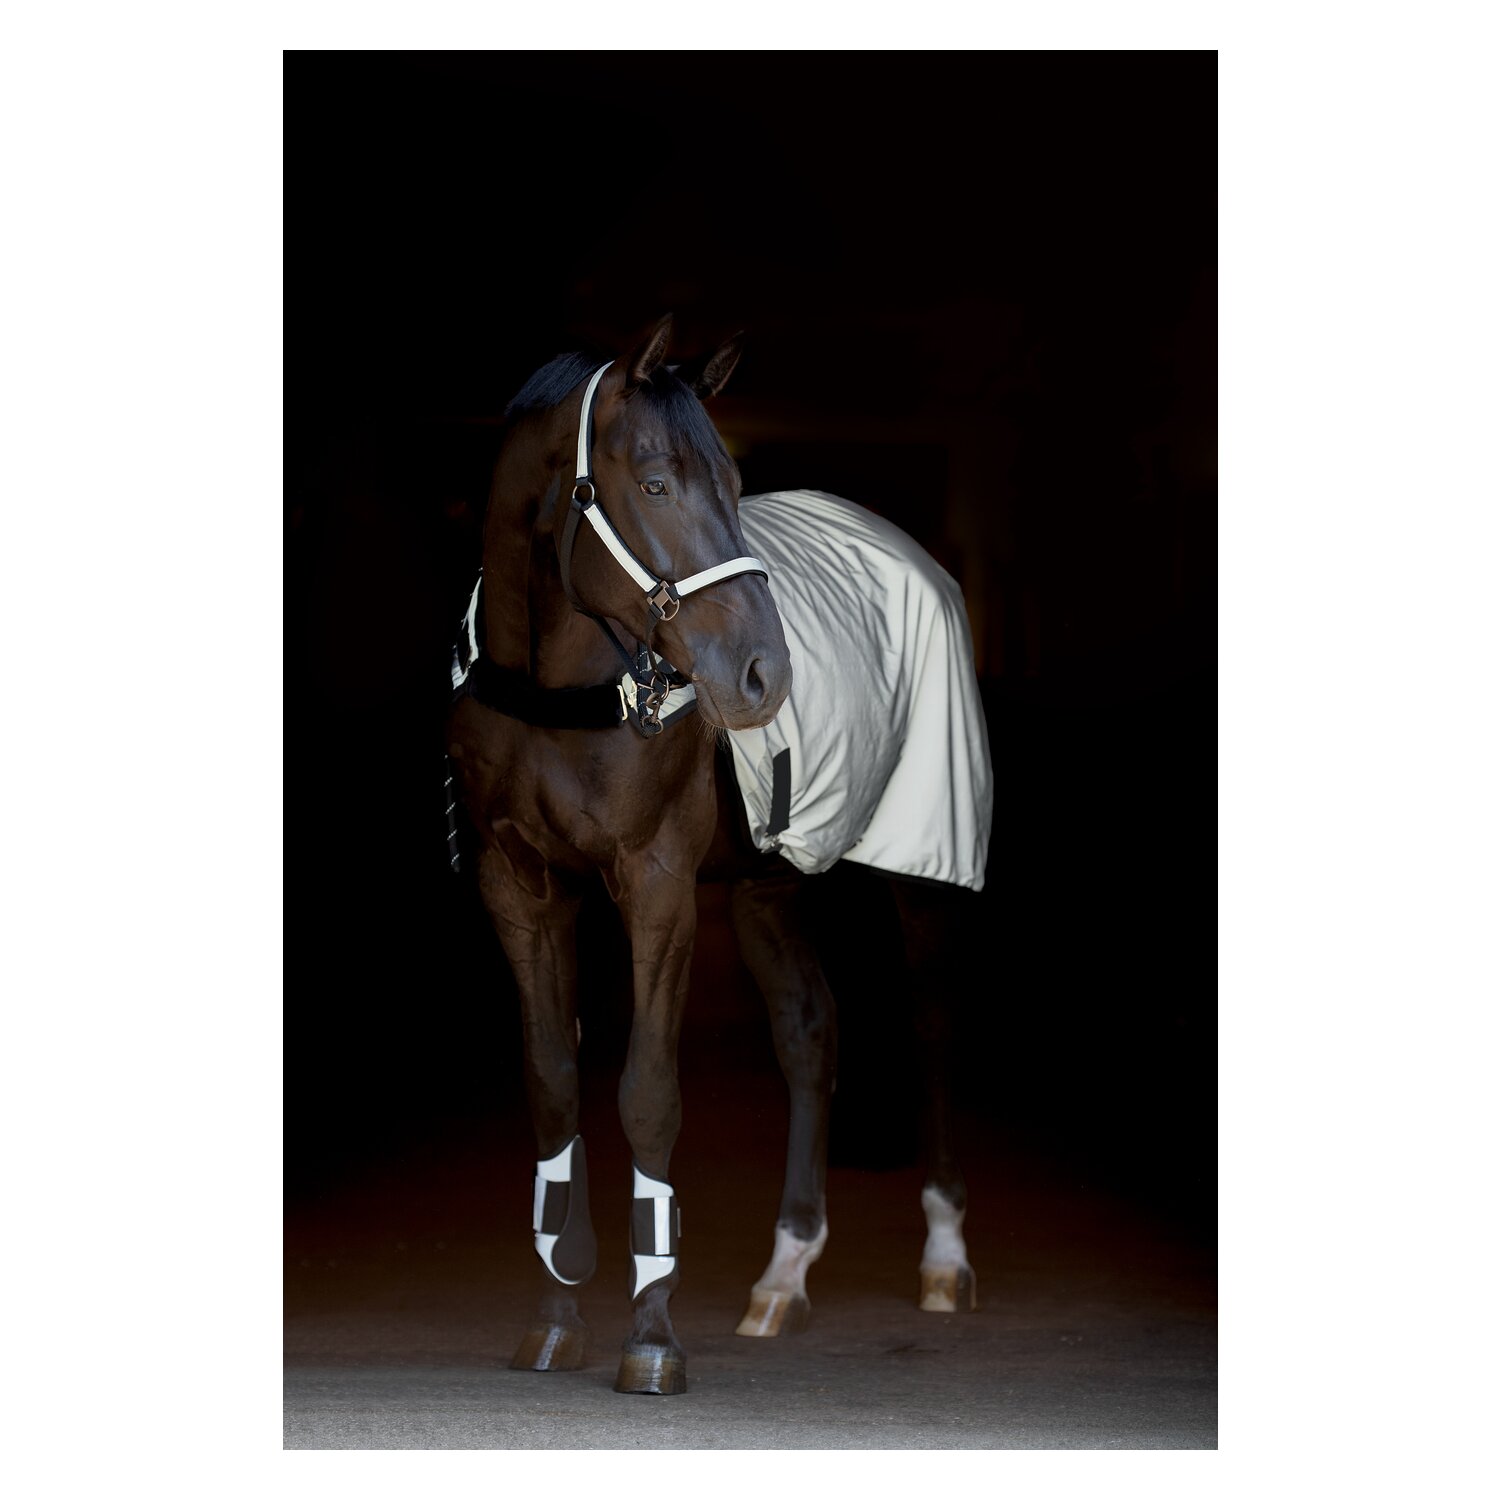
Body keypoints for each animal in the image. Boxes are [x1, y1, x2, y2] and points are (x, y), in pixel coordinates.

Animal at [445, 317, 989, 1395]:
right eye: (655, 483)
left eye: (735, 484)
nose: (765, 675)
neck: (557, 695)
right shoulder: (517, 885)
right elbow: (552, 1087)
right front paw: (555, 1314)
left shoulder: (655, 884)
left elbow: (648, 1094)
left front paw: (652, 1334)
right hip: (767, 883)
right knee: (811, 1033)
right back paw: (785, 1272)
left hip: (924, 866)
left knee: (935, 1026)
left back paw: (945, 1257)